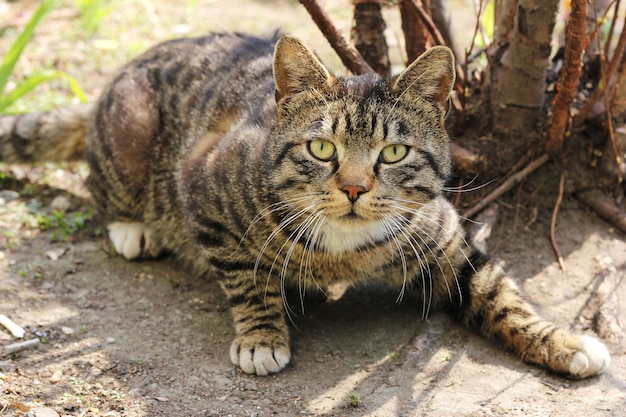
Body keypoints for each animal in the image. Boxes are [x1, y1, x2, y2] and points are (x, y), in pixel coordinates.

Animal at [0, 32, 608, 376]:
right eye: (322, 148)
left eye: (394, 152)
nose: (355, 188)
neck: (345, 253)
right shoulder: (206, 193)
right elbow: (248, 279)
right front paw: (262, 337)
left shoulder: (448, 246)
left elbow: (504, 297)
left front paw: (563, 342)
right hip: (131, 133)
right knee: (101, 184)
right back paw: (133, 228)